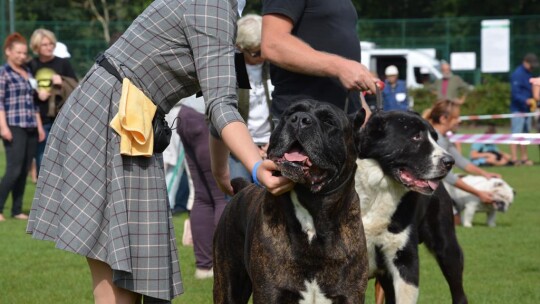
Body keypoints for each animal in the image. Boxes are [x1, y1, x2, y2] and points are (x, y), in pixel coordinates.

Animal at [354, 111, 468, 304]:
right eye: (416, 137)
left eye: (435, 138)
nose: (450, 161)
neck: (378, 192)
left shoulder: (405, 258)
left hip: (447, 247)